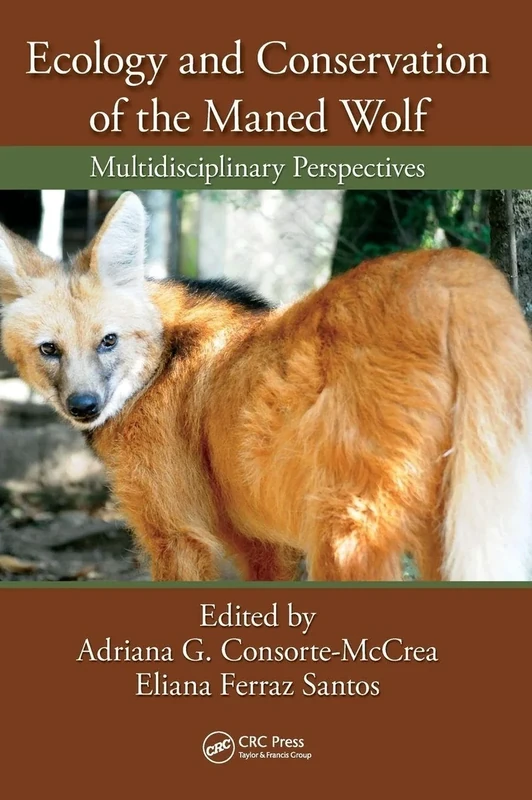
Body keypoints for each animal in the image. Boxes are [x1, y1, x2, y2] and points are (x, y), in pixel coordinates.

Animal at [1, 191, 531, 581]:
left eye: (108, 341)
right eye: (50, 349)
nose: (84, 405)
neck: (159, 362)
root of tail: (456, 274)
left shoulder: (177, 532)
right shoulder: (259, 542)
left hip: (345, 534)